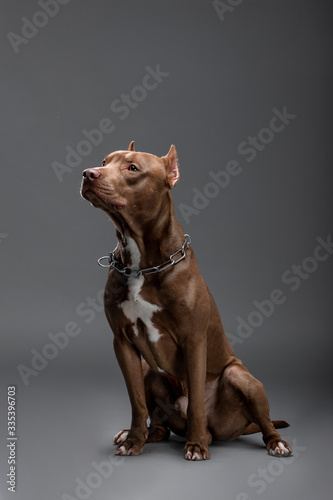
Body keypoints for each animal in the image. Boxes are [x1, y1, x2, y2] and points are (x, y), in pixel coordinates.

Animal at [80, 142, 290, 460]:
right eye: (104, 162)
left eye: (132, 168)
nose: (88, 173)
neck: (141, 263)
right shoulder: (122, 342)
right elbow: (136, 402)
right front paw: (133, 441)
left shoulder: (193, 340)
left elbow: (196, 403)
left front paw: (196, 445)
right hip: (150, 373)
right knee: (161, 426)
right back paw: (139, 434)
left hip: (241, 378)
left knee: (263, 419)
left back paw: (272, 442)